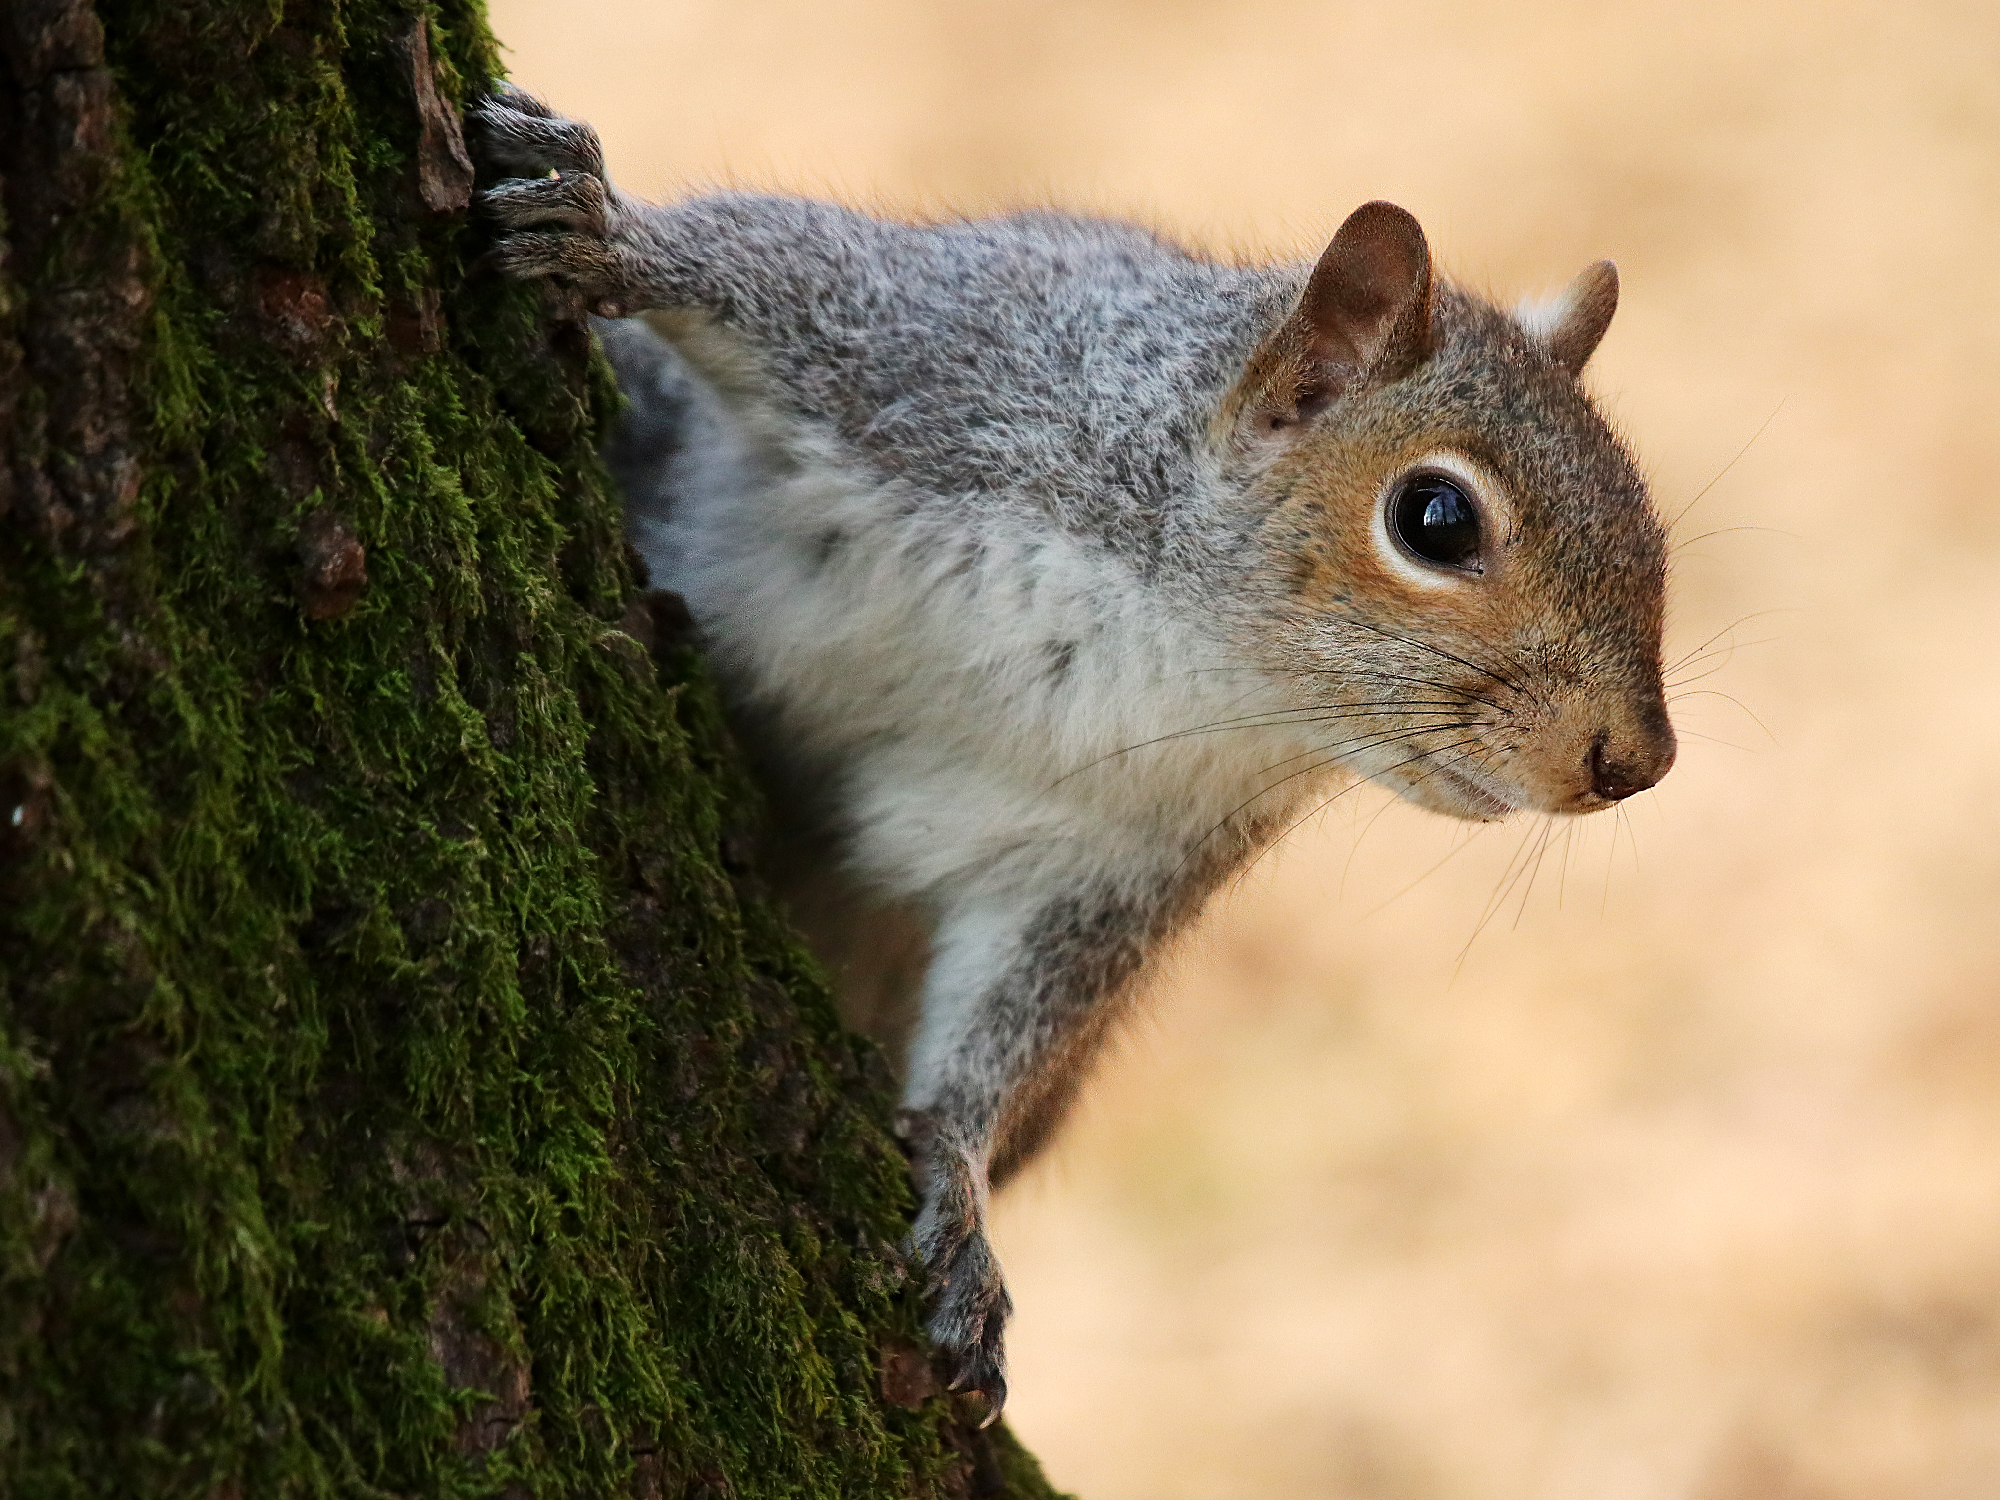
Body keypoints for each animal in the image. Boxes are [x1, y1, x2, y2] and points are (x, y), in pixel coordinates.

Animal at [471, 83, 1676, 1422]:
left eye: (1651, 532)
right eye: (1434, 519)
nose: (1636, 761)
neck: (1183, 648)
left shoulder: (1107, 861)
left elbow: (1013, 1022)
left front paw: (954, 1191)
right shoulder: (944, 352)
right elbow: (764, 259)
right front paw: (602, 228)